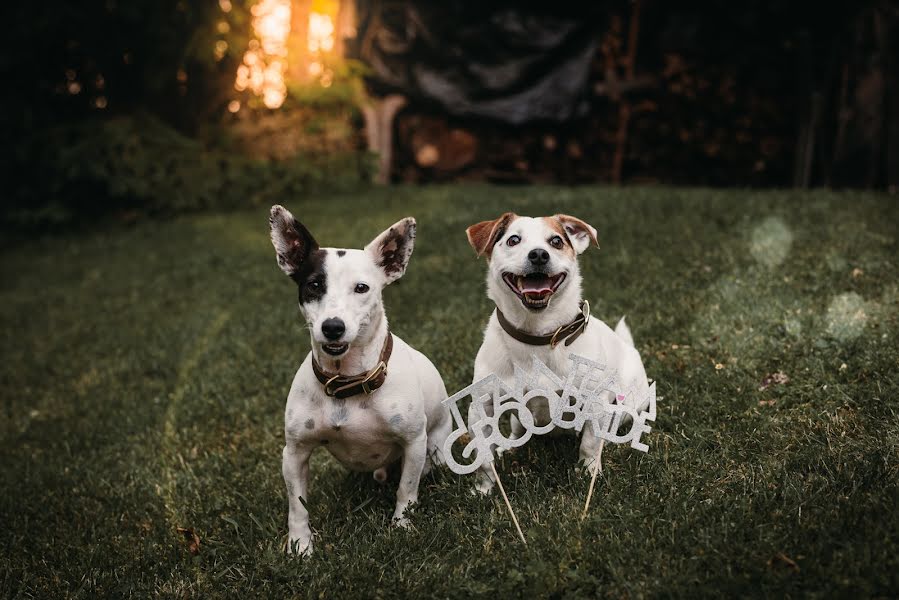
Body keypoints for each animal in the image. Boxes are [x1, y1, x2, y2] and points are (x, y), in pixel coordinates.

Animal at [268, 205, 450, 552]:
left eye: (362, 288)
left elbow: (407, 489)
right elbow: (297, 505)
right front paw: (300, 546)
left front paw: (402, 526)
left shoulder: (414, 443)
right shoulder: (294, 452)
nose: (332, 327)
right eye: (314, 285)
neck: (346, 381)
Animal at [468, 213, 652, 494]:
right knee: (516, 430)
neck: (537, 336)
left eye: (556, 241)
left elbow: (589, 444)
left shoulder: (596, 402)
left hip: (626, 405)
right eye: (513, 240)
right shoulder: (481, 407)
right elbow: (483, 456)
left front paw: (588, 474)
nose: (538, 255)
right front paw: (483, 489)